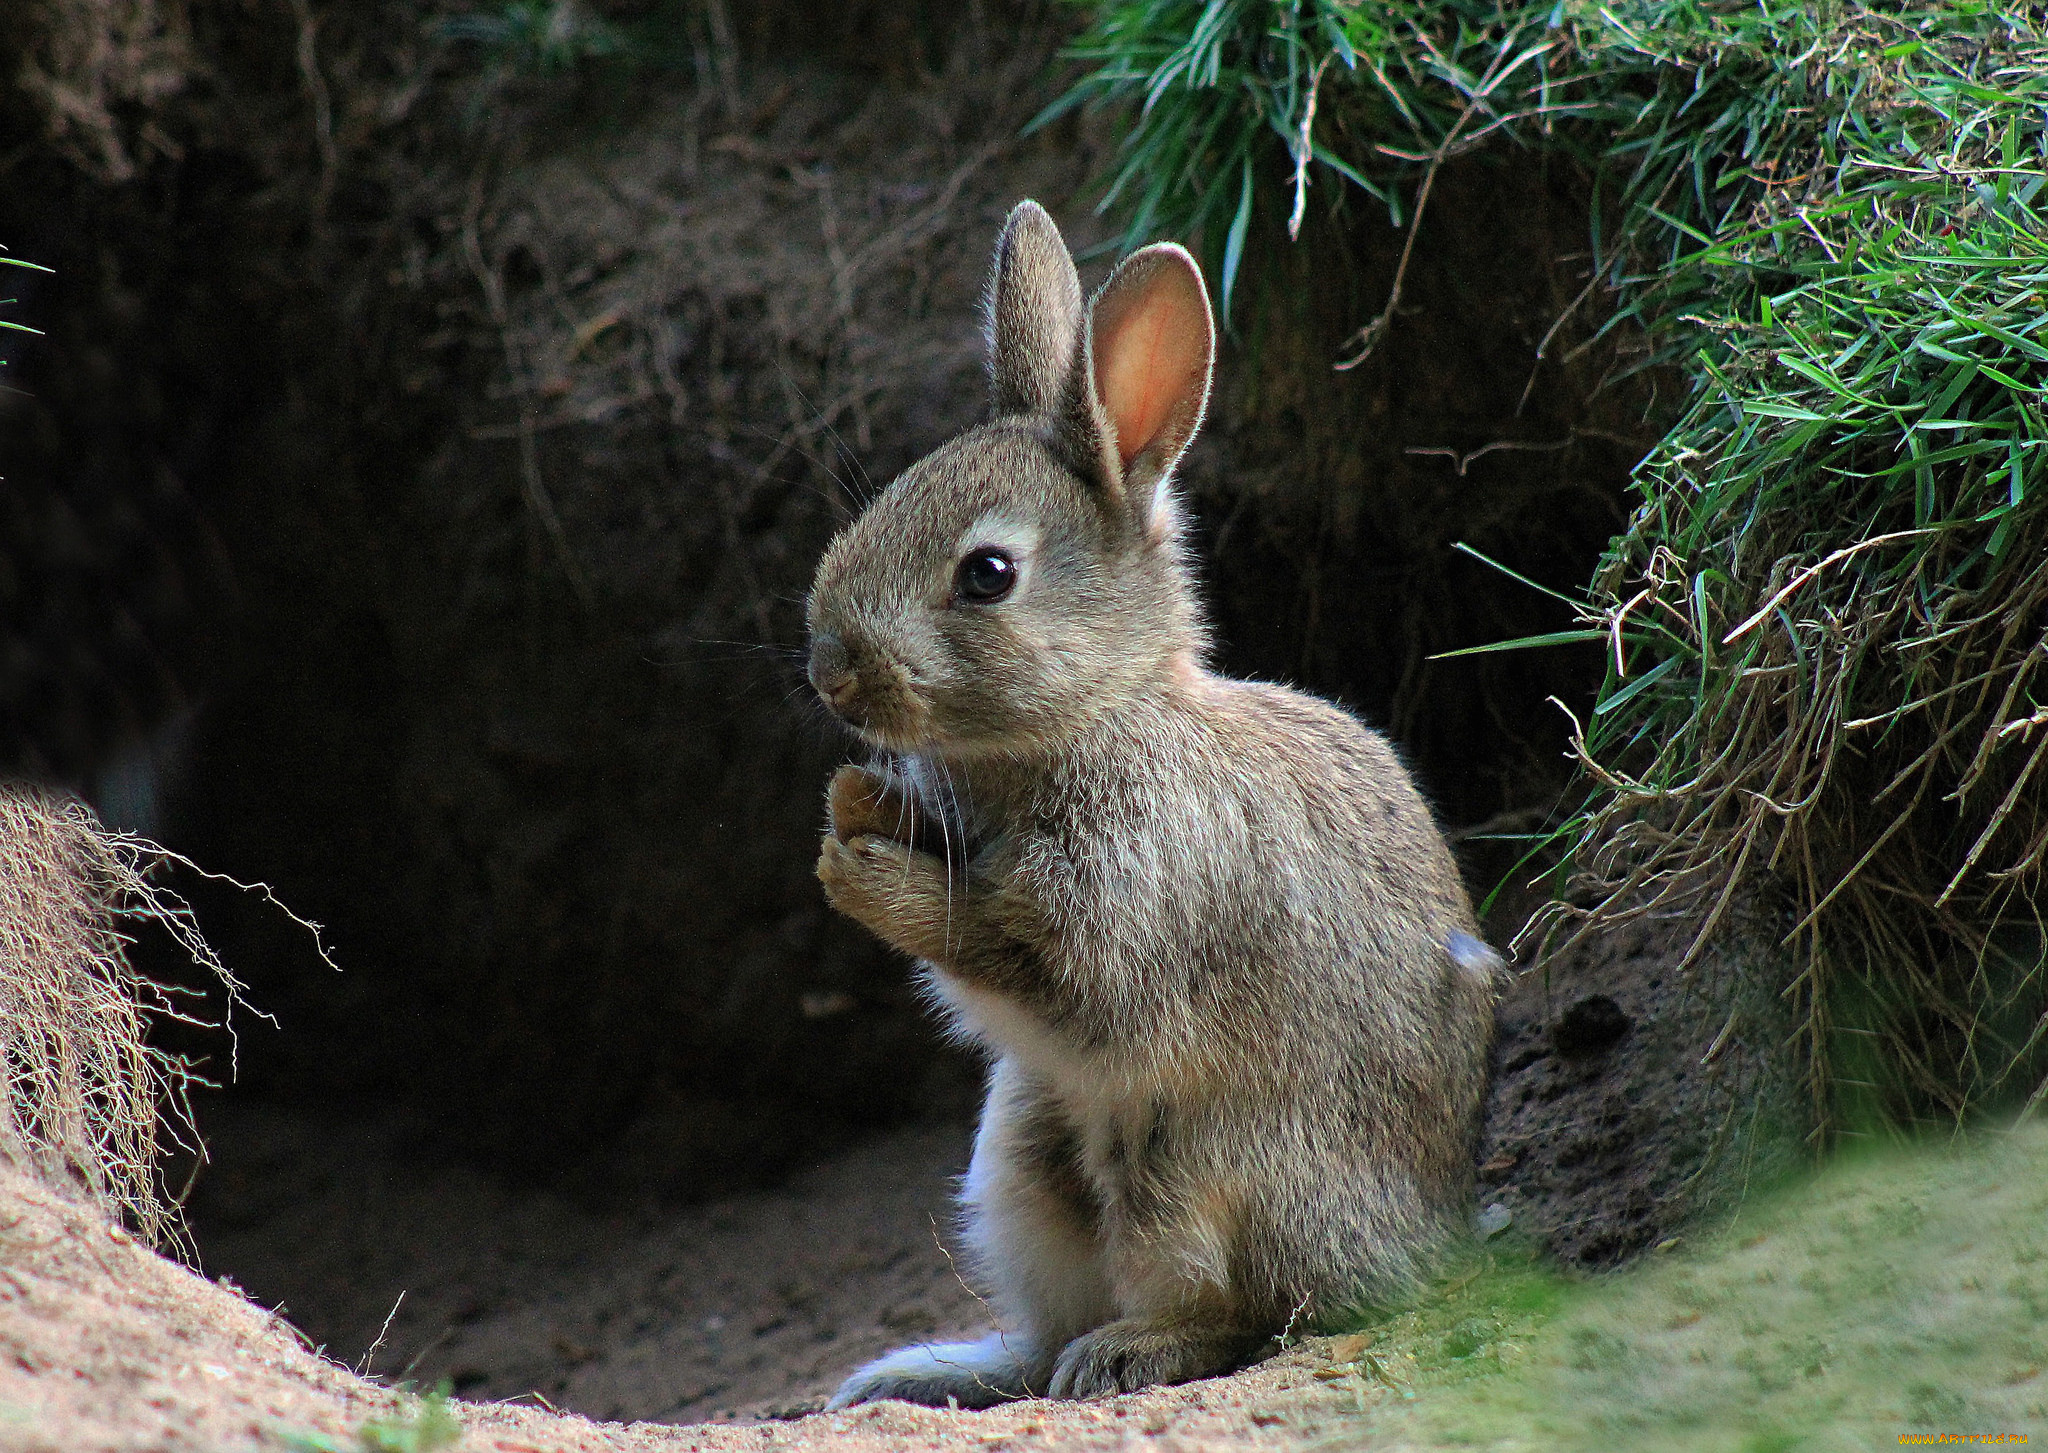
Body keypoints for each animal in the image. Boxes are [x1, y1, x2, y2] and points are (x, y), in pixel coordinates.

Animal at [806, 198, 1499, 1401]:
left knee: (1245, 1313)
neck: (1096, 715)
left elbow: (1014, 955)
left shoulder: (1126, 912)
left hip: (1189, 1163)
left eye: (987, 574)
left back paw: (1131, 1349)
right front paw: (857, 803)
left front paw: (859, 866)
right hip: (1020, 1148)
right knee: (1042, 1332)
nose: (830, 672)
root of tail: (1422, 1241)